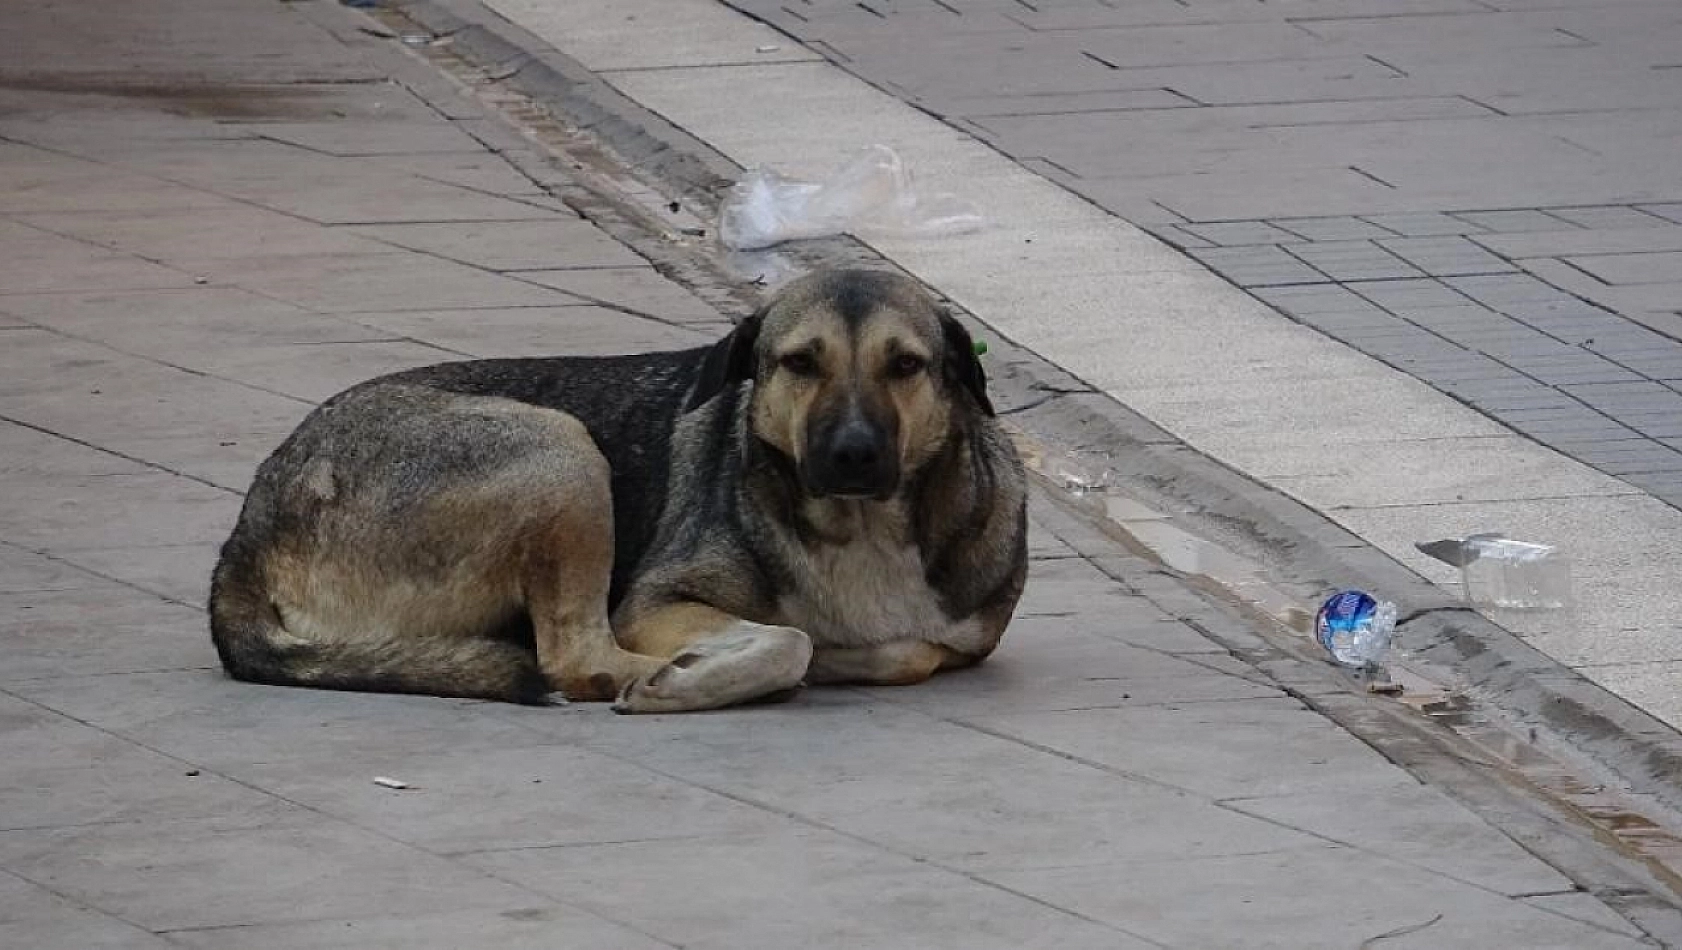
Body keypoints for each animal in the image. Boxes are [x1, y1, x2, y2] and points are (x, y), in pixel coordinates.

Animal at [210, 267, 1022, 712]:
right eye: (799, 363)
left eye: (906, 365)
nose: (853, 454)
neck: (861, 525)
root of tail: (247, 529)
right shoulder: (655, 603)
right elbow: (790, 639)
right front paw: (711, 671)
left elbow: (903, 651)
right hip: (561, 449)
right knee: (574, 656)